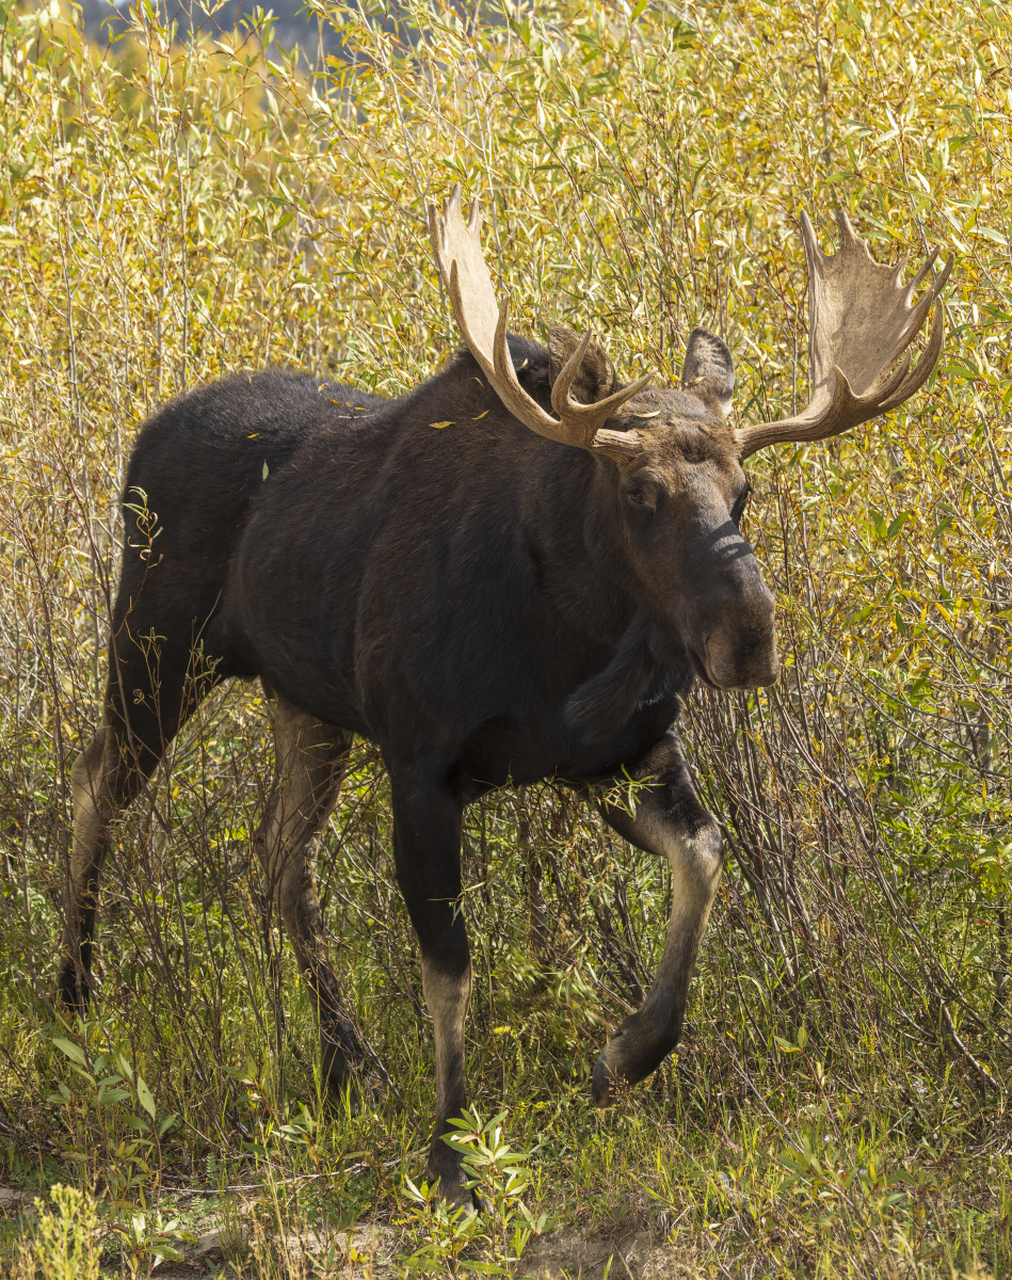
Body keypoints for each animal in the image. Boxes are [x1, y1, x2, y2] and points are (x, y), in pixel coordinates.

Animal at [61, 192, 951, 1198]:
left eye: (745, 487)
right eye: (639, 490)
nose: (749, 634)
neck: (569, 637)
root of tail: (145, 434)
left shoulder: (617, 753)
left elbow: (705, 855)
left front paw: (624, 1057)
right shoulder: (422, 765)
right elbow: (449, 964)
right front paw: (453, 1150)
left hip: (308, 706)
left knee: (280, 855)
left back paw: (349, 1061)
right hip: (155, 650)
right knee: (97, 784)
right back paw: (77, 991)